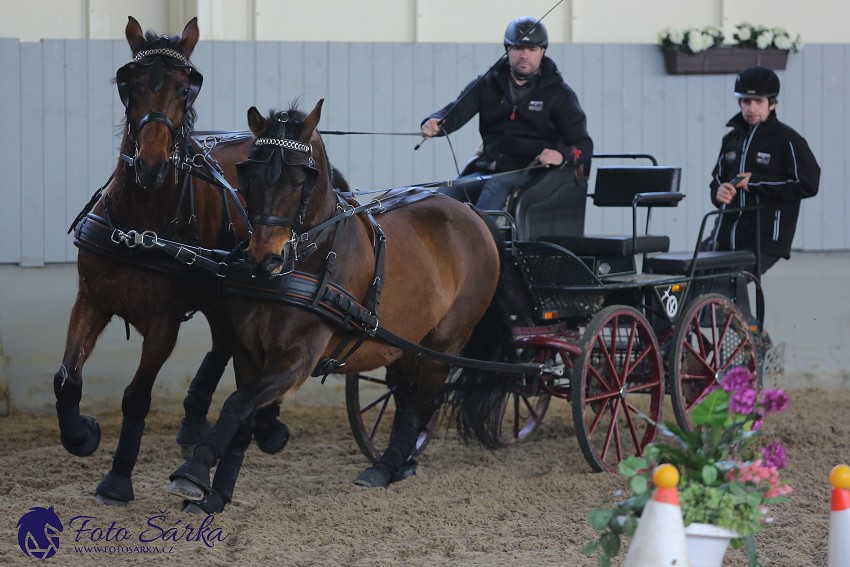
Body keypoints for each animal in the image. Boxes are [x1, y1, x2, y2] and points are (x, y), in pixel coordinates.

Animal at [54, 16, 290, 506]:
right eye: (130, 84)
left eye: (187, 88)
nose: (151, 164)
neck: (140, 222)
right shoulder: (91, 298)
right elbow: (67, 378)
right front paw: (82, 435)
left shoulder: (163, 324)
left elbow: (136, 396)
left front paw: (118, 478)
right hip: (219, 299)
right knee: (224, 344)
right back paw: (195, 419)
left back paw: (266, 424)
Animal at [164, 100, 524, 512]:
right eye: (249, 171)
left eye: (301, 179)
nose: (264, 259)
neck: (305, 262)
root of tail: (473, 215)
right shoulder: (247, 352)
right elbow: (241, 420)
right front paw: (217, 495)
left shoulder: (299, 358)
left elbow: (238, 404)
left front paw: (193, 470)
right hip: (407, 341)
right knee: (406, 396)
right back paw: (399, 464)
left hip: (445, 340)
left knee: (423, 401)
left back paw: (385, 466)